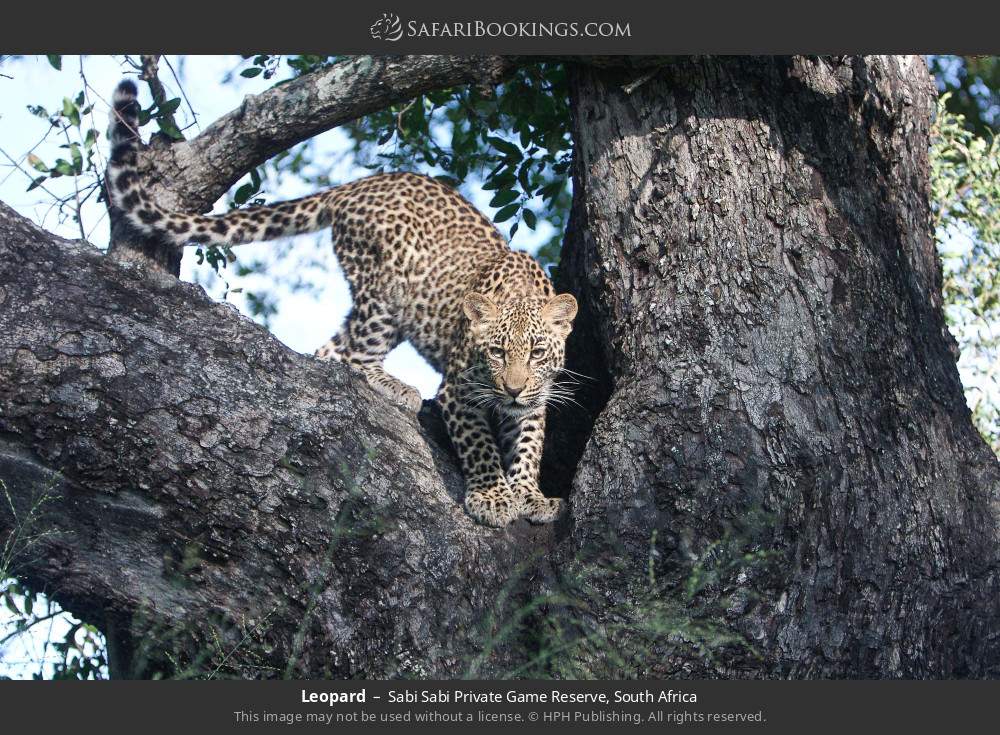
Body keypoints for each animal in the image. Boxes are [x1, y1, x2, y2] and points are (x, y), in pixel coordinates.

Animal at [106, 79, 577, 528]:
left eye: (537, 353)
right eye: (496, 352)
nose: (512, 389)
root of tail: (356, 186)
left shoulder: (535, 399)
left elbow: (530, 443)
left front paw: (530, 495)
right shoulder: (457, 391)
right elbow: (480, 445)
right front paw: (492, 497)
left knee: (329, 350)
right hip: (384, 291)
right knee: (357, 356)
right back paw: (397, 387)